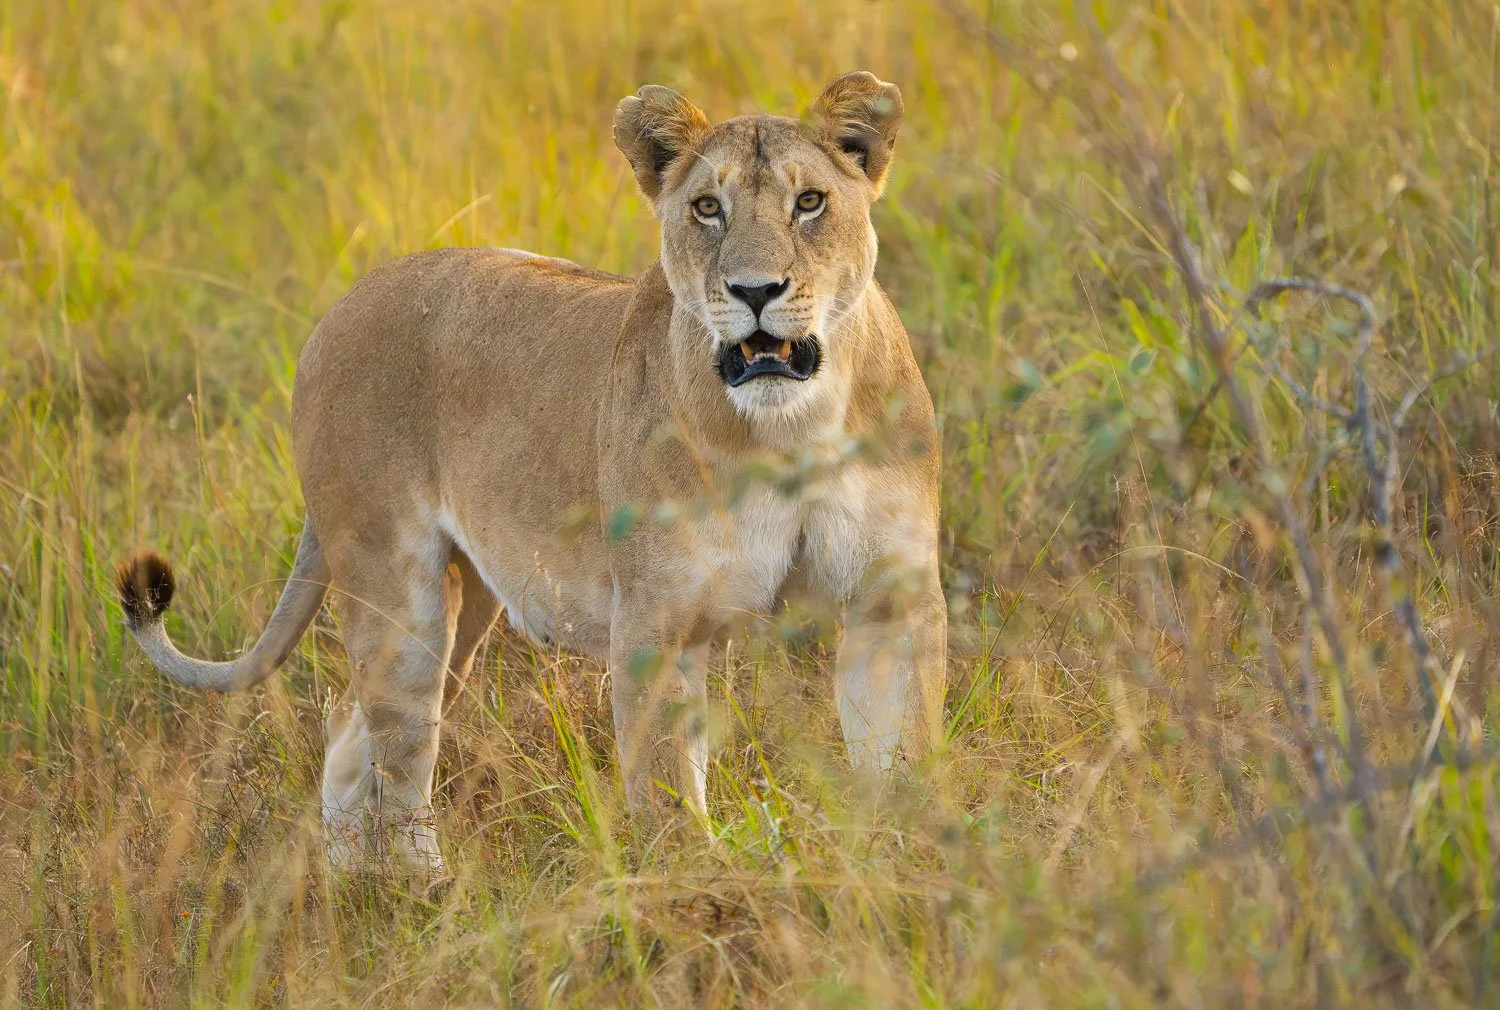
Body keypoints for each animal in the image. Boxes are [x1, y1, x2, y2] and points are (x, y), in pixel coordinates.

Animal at [116, 72, 947, 872]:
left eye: (810, 202)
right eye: (708, 208)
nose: (754, 291)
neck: (790, 426)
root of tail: (343, 304)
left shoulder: (893, 598)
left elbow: (903, 759)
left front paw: (910, 865)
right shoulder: (657, 619)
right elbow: (670, 796)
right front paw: (699, 890)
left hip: (466, 602)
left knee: (353, 727)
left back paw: (356, 887)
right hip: (396, 588)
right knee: (398, 742)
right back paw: (419, 890)